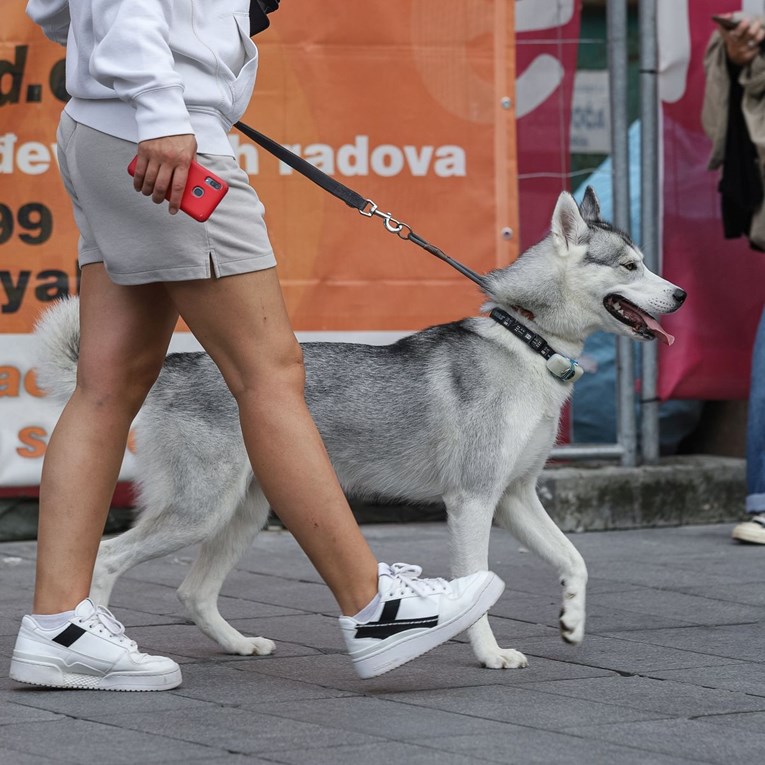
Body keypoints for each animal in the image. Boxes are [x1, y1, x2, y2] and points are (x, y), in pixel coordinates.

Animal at [32, 190, 684, 668]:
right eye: (631, 266)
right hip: (201, 510)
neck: (529, 340)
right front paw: (490, 654)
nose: (680, 293)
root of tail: (173, 367)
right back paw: (109, 649)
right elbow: (479, 584)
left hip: (245, 512)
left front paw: (571, 620)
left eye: (647, 261)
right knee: (107, 557)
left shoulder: (516, 497)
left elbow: (575, 561)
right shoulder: (473, 500)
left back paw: (240, 645)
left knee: (192, 593)